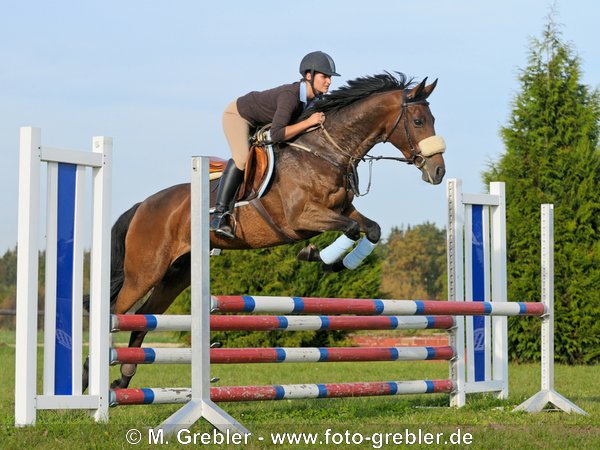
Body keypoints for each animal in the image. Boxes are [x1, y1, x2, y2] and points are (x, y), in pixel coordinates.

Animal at [88, 73, 446, 390]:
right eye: (418, 121)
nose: (439, 171)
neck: (325, 152)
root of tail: (143, 205)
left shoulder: (341, 210)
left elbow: (370, 229)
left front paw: (338, 263)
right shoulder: (301, 218)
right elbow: (353, 228)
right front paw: (317, 256)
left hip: (175, 276)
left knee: (143, 320)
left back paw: (123, 379)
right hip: (145, 272)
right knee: (117, 312)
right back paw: (90, 378)